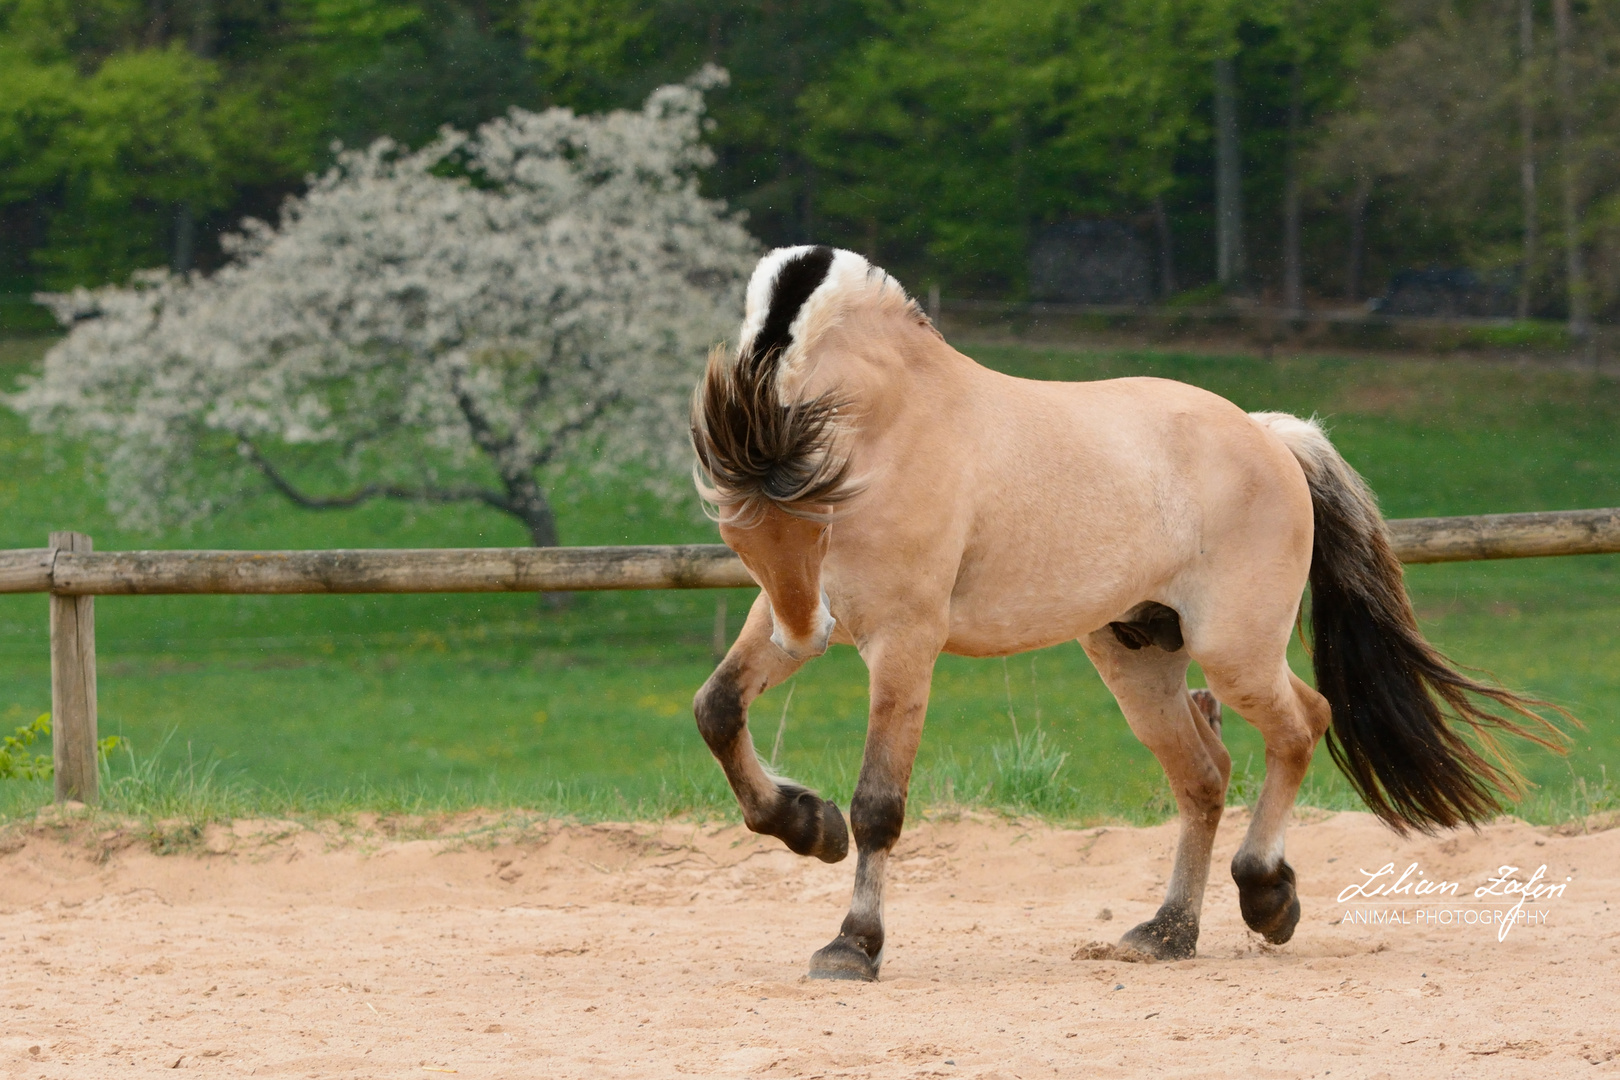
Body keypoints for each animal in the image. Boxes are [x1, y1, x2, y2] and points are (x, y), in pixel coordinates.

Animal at [680, 244, 1555, 977]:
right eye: (739, 530)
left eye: (813, 512)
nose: (810, 632)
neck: (888, 422)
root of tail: (1269, 434)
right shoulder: (789, 612)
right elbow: (717, 711)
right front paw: (806, 822)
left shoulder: (904, 643)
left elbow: (879, 806)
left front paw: (853, 944)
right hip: (1137, 657)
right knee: (1205, 775)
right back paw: (1170, 931)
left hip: (1234, 650)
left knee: (1303, 723)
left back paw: (1266, 894)